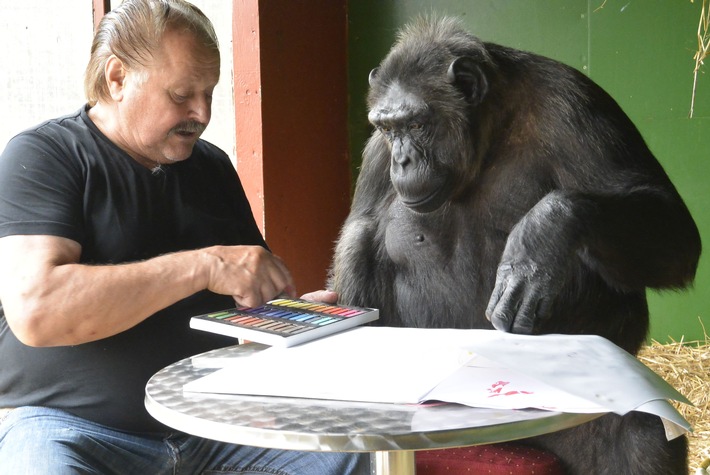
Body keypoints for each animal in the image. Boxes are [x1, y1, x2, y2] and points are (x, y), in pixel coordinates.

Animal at [330, 14, 704, 475]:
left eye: (417, 124)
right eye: (387, 127)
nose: (403, 159)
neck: (489, 132)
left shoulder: (577, 107)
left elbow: (669, 221)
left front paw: (540, 238)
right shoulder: (374, 158)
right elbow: (357, 232)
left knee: (642, 434)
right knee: (358, 241)